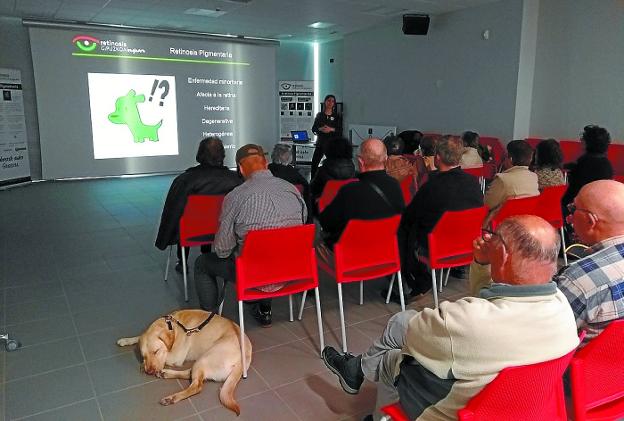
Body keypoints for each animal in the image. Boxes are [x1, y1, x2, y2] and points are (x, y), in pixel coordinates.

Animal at [117, 306, 251, 416]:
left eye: (156, 351)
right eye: (143, 355)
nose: (149, 372)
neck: (172, 326)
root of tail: (245, 359)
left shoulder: (176, 357)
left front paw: (142, 365)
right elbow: (138, 337)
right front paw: (126, 340)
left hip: (206, 357)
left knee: (196, 385)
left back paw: (171, 398)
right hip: (202, 361)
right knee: (191, 374)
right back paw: (165, 373)